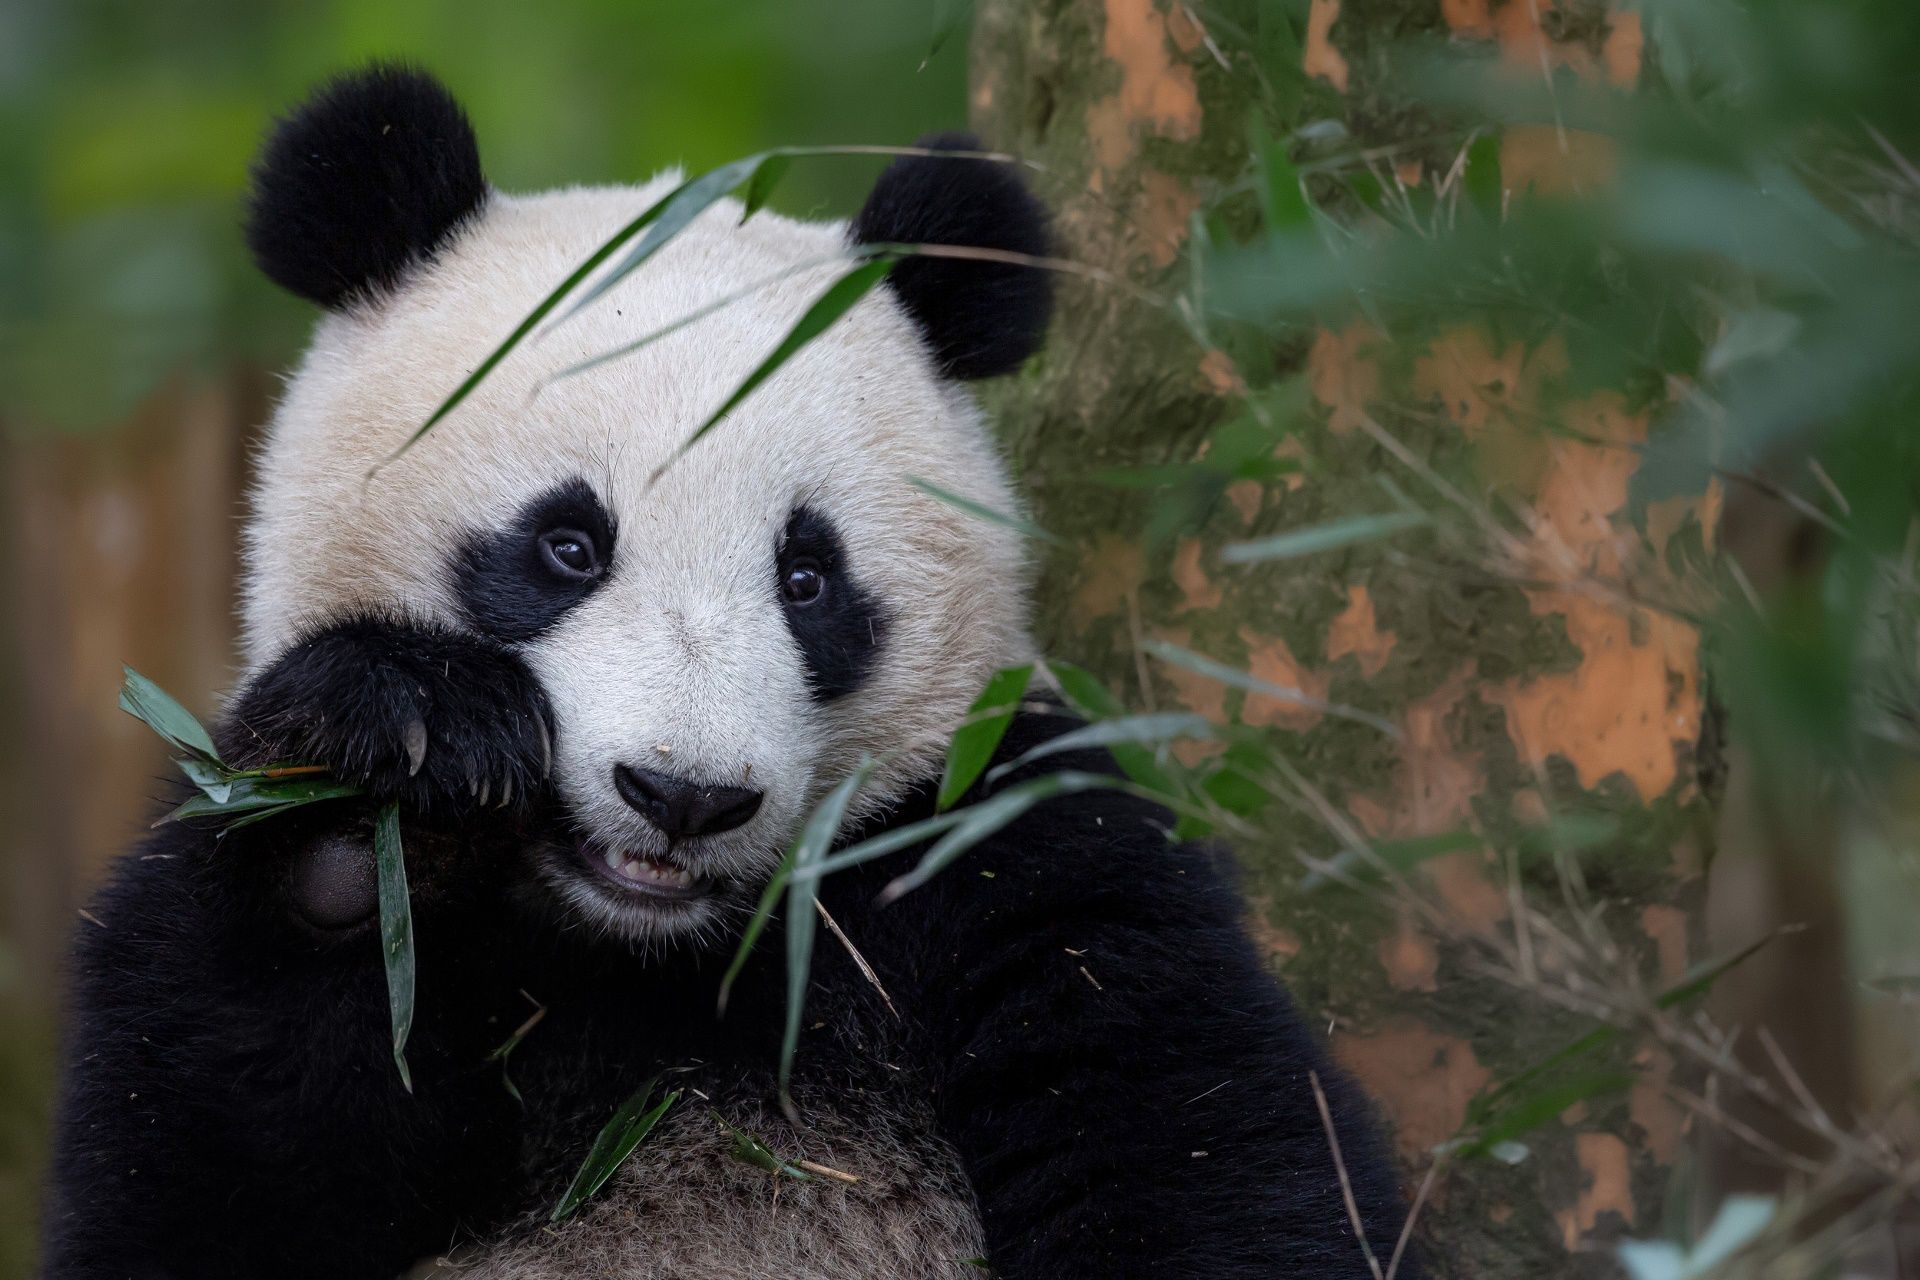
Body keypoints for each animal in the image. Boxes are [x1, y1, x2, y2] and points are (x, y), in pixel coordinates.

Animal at [42, 65, 1419, 1280]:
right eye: (567, 544)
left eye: (807, 576)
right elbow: (205, 1180)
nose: (684, 794)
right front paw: (390, 785)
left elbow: (1211, 1152)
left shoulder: (1017, 850)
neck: (655, 945)